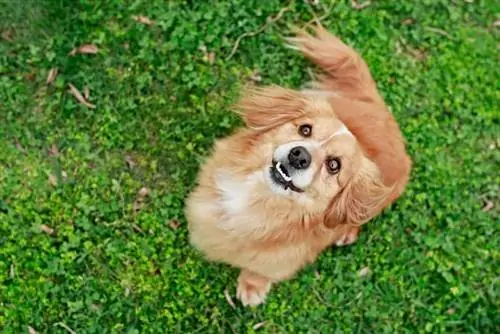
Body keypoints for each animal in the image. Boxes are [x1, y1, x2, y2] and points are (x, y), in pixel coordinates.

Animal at [184, 27, 410, 306]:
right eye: (305, 129)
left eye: (334, 165)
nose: (299, 156)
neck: (257, 199)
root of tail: (383, 111)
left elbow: (260, 270)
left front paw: (252, 286)